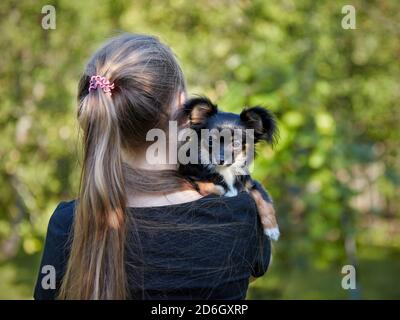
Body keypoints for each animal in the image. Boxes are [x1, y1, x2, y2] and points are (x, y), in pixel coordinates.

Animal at [177, 96, 280, 241]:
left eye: (236, 143)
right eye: (210, 141)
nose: (220, 159)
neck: (225, 171)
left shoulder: (250, 183)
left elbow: (263, 197)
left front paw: (272, 228)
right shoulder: (187, 174)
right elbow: (205, 183)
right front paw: (221, 190)